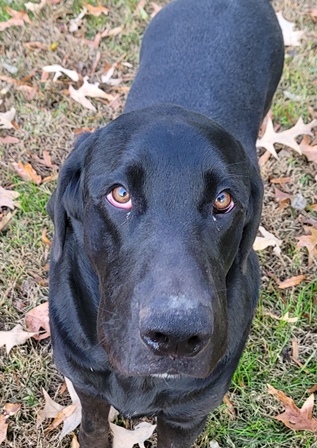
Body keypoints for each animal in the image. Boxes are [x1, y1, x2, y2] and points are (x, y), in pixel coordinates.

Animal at [47, 1, 284, 446]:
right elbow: (93, 429)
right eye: (120, 194)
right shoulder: (86, 384)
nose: (176, 336)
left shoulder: (187, 416)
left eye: (223, 200)